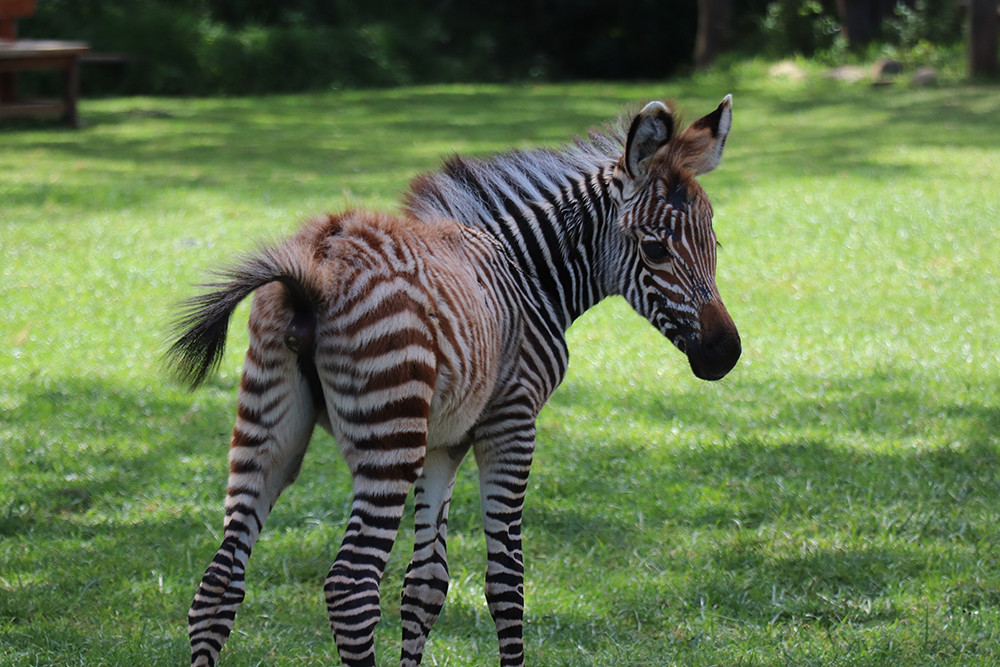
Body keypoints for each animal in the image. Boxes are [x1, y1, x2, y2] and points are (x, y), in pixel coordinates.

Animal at [167, 95, 741, 667]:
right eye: (657, 249)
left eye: (714, 241)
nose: (727, 353)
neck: (526, 271)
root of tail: (316, 266)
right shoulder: (511, 424)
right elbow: (507, 580)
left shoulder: (442, 444)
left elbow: (425, 585)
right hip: (389, 437)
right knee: (351, 587)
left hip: (270, 426)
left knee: (217, 584)